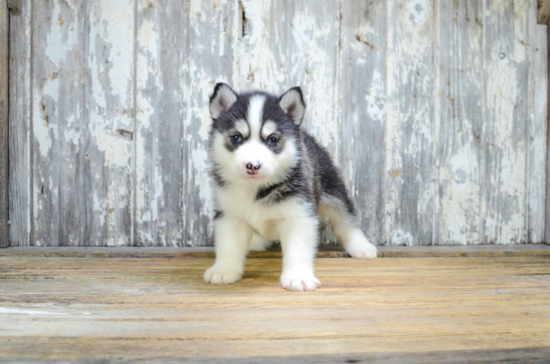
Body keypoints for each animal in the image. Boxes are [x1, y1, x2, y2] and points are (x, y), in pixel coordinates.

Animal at [205, 84, 378, 292]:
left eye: (272, 139)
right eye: (236, 137)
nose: (252, 166)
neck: (256, 188)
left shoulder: (300, 214)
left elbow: (298, 248)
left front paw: (298, 276)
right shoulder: (229, 215)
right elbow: (228, 245)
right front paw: (224, 270)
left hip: (332, 189)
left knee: (345, 219)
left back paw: (360, 246)